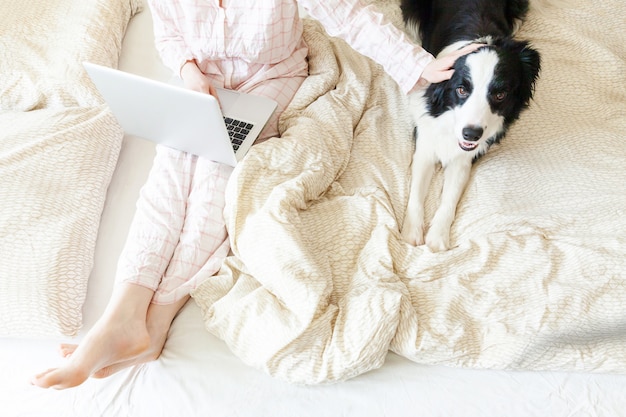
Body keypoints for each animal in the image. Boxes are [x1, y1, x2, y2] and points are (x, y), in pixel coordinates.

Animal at [400, 0, 540, 250]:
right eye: (462, 89)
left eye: (501, 94)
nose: (471, 134)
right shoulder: (425, 142)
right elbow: (416, 192)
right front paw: (412, 233)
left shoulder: (463, 159)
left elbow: (450, 197)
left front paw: (438, 237)